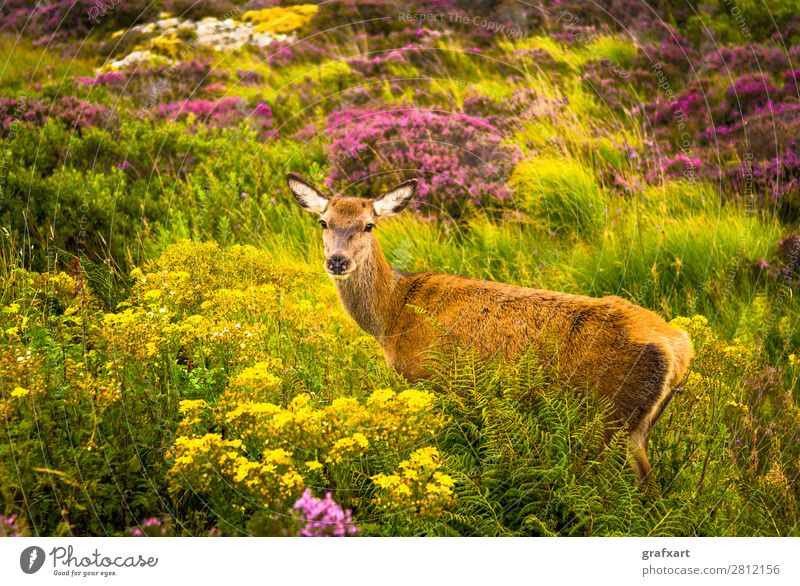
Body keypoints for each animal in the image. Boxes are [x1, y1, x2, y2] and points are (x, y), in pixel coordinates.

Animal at [288, 171, 692, 482]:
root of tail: (679, 347)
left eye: (368, 225)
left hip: (612, 419)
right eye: (324, 222)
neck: (393, 315)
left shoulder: (427, 378)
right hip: (638, 426)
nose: (337, 261)